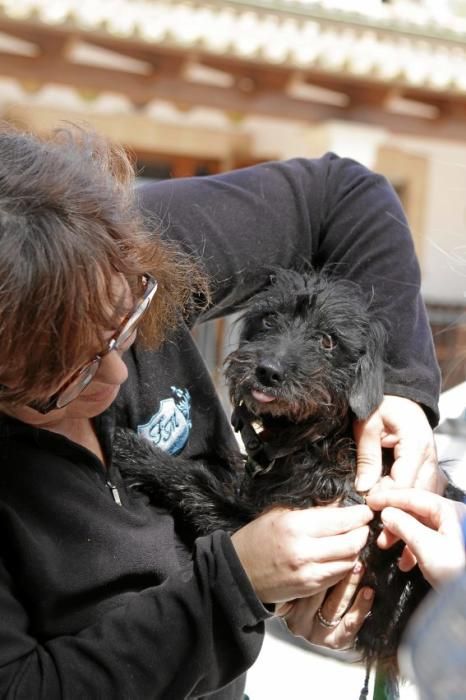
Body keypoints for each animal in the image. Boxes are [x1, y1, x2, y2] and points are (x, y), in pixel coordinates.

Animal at [113, 270, 456, 688]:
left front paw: (135, 451)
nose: (268, 370)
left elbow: (196, 482)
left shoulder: (257, 523)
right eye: (269, 320)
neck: (315, 442)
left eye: (327, 340)